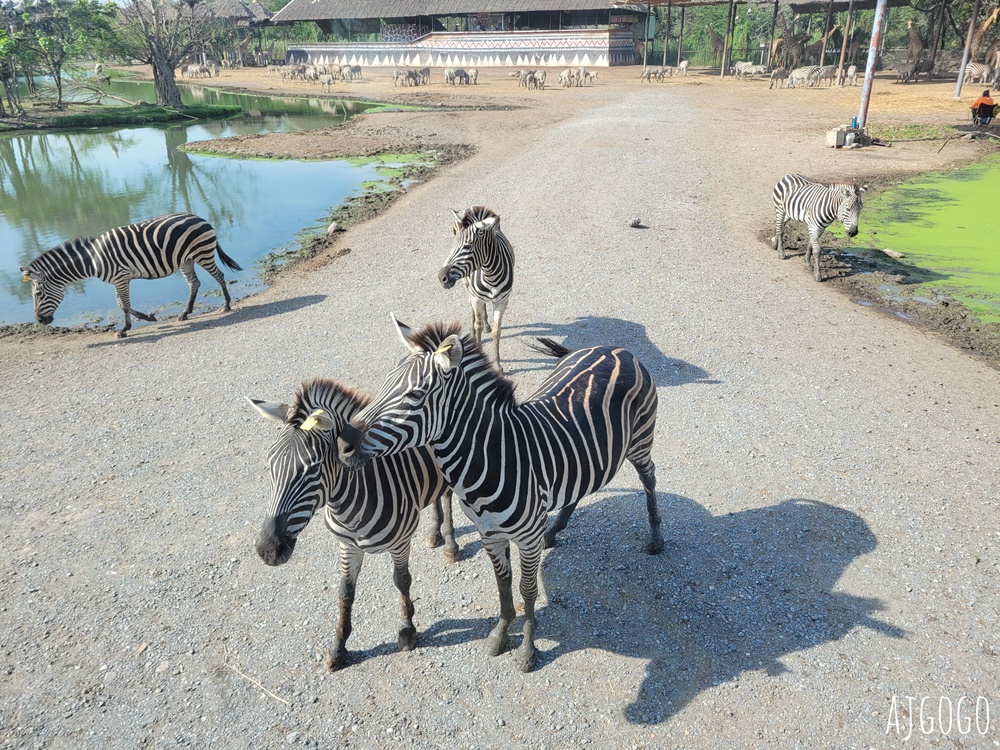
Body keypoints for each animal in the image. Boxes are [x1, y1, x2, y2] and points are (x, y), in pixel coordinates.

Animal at [20, 213, 242, 340]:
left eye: (38, 294)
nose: (40, 320)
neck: (93, 259)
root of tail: (200, 217)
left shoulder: (120, 277)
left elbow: (124, 305)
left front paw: (125, 329)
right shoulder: (118, 280)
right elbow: (121, 303)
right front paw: (146, 317)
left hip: (202, 254)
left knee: (219, 275)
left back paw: (227, 304)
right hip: (186, 260)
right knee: (194, 283)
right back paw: (185, 313)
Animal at [249, 378, 458, 672]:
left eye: (312, 468)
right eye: (270, 464)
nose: (267, 549)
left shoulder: (401, 542)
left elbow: (402, 580)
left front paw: (407, 631)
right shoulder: (348, 545)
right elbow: (345, 593)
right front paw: (339, 648)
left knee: (448, 496)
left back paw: (450, 543)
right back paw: (434, 532)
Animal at [338, 318, 664, 676]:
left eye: (415, 395)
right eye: (384, 384)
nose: (342, 443)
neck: (491, 458)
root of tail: (616, 348)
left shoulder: (526, 537)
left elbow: (527, 590)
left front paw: (527, 649)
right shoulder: (489, 533)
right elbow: (503, 585)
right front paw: (501, 633)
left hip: (640, 442)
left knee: (649, 479)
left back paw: (656, 538)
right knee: (578, 491)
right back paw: (555, 530)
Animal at [440, 206, 516, 374]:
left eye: (468, 246)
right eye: (454, 245)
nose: (441, 277)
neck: (490, 275)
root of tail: (473, 209)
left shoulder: (502, 301)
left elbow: (496, 332)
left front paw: (497, 365)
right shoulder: (477, 298)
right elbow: (478, 325)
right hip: (467, 286)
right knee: (473, 309)